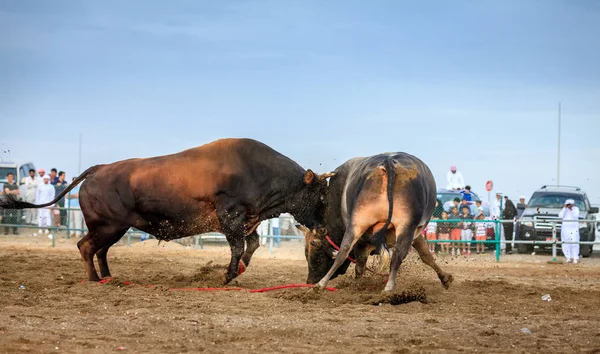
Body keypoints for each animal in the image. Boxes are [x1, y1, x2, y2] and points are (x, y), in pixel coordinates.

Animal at [0, 138, 330, 282]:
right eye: (321, 196)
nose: (326, 227)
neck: (257, 171)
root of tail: (98, 170)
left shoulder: (248, 220)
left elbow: (253, 244)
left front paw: (239, 269)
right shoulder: (231, 217)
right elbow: (238, 247)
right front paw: (227, 275)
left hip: (114, 228)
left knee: (99, 250)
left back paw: (108, 276)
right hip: (107, 226)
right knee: (85, 246)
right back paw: (94, 279)